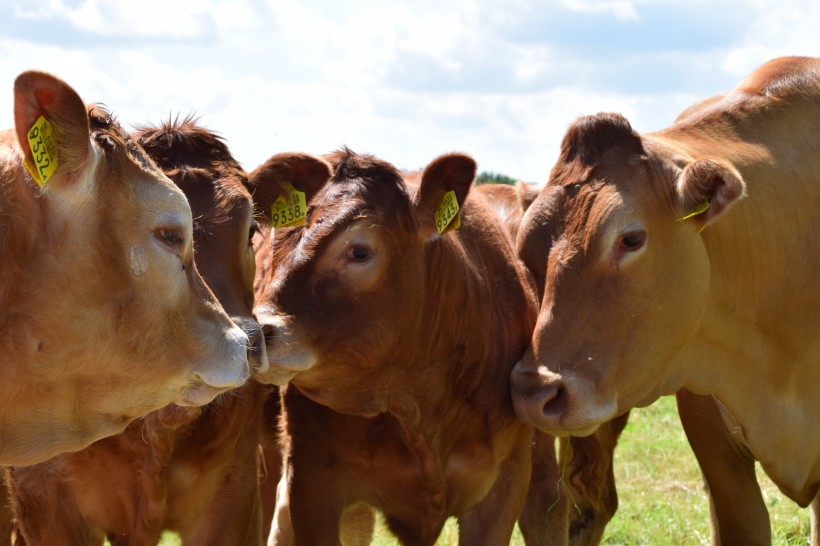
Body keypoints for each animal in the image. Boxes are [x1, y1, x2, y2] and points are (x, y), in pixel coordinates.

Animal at [250, 149, 564, 544]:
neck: (415, 403)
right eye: (276, 241)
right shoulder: (310, 478)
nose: (258, 331)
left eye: (359, 251)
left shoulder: (504, 485)